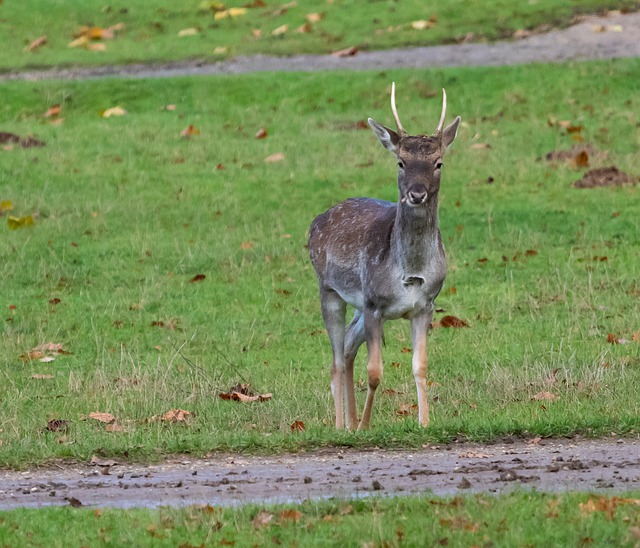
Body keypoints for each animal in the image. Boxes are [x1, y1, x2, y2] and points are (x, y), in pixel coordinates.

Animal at [308, 83, 460, 430]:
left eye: (439, 162)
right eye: (400, 162)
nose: (416, 193)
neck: (410, 272)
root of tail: (316, 221)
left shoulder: (425, 305)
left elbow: (420, 366)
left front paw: (424, 423)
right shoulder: (374, 303)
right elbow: (375, 372)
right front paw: (365, 425)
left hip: (358, 307)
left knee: (347, 350)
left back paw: (349, 423)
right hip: (330, 290)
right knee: (336, 360)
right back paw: (342, 425)